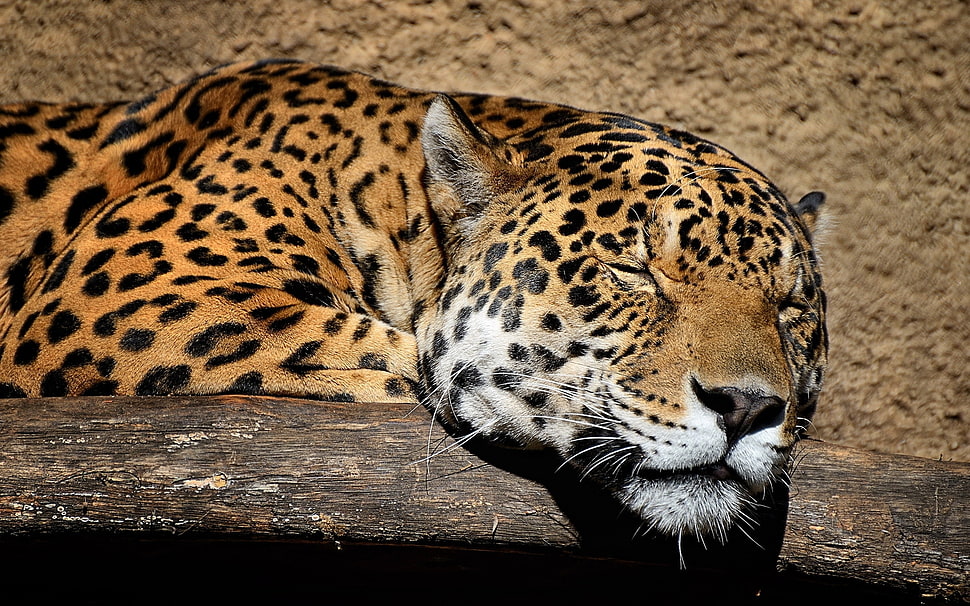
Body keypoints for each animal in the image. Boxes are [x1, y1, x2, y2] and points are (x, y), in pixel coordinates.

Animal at [0, 59, 826, 542]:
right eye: (631, 269)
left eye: (790, 308)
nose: (747, 409)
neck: (393, 196)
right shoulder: (137, 296)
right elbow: (407, 368)